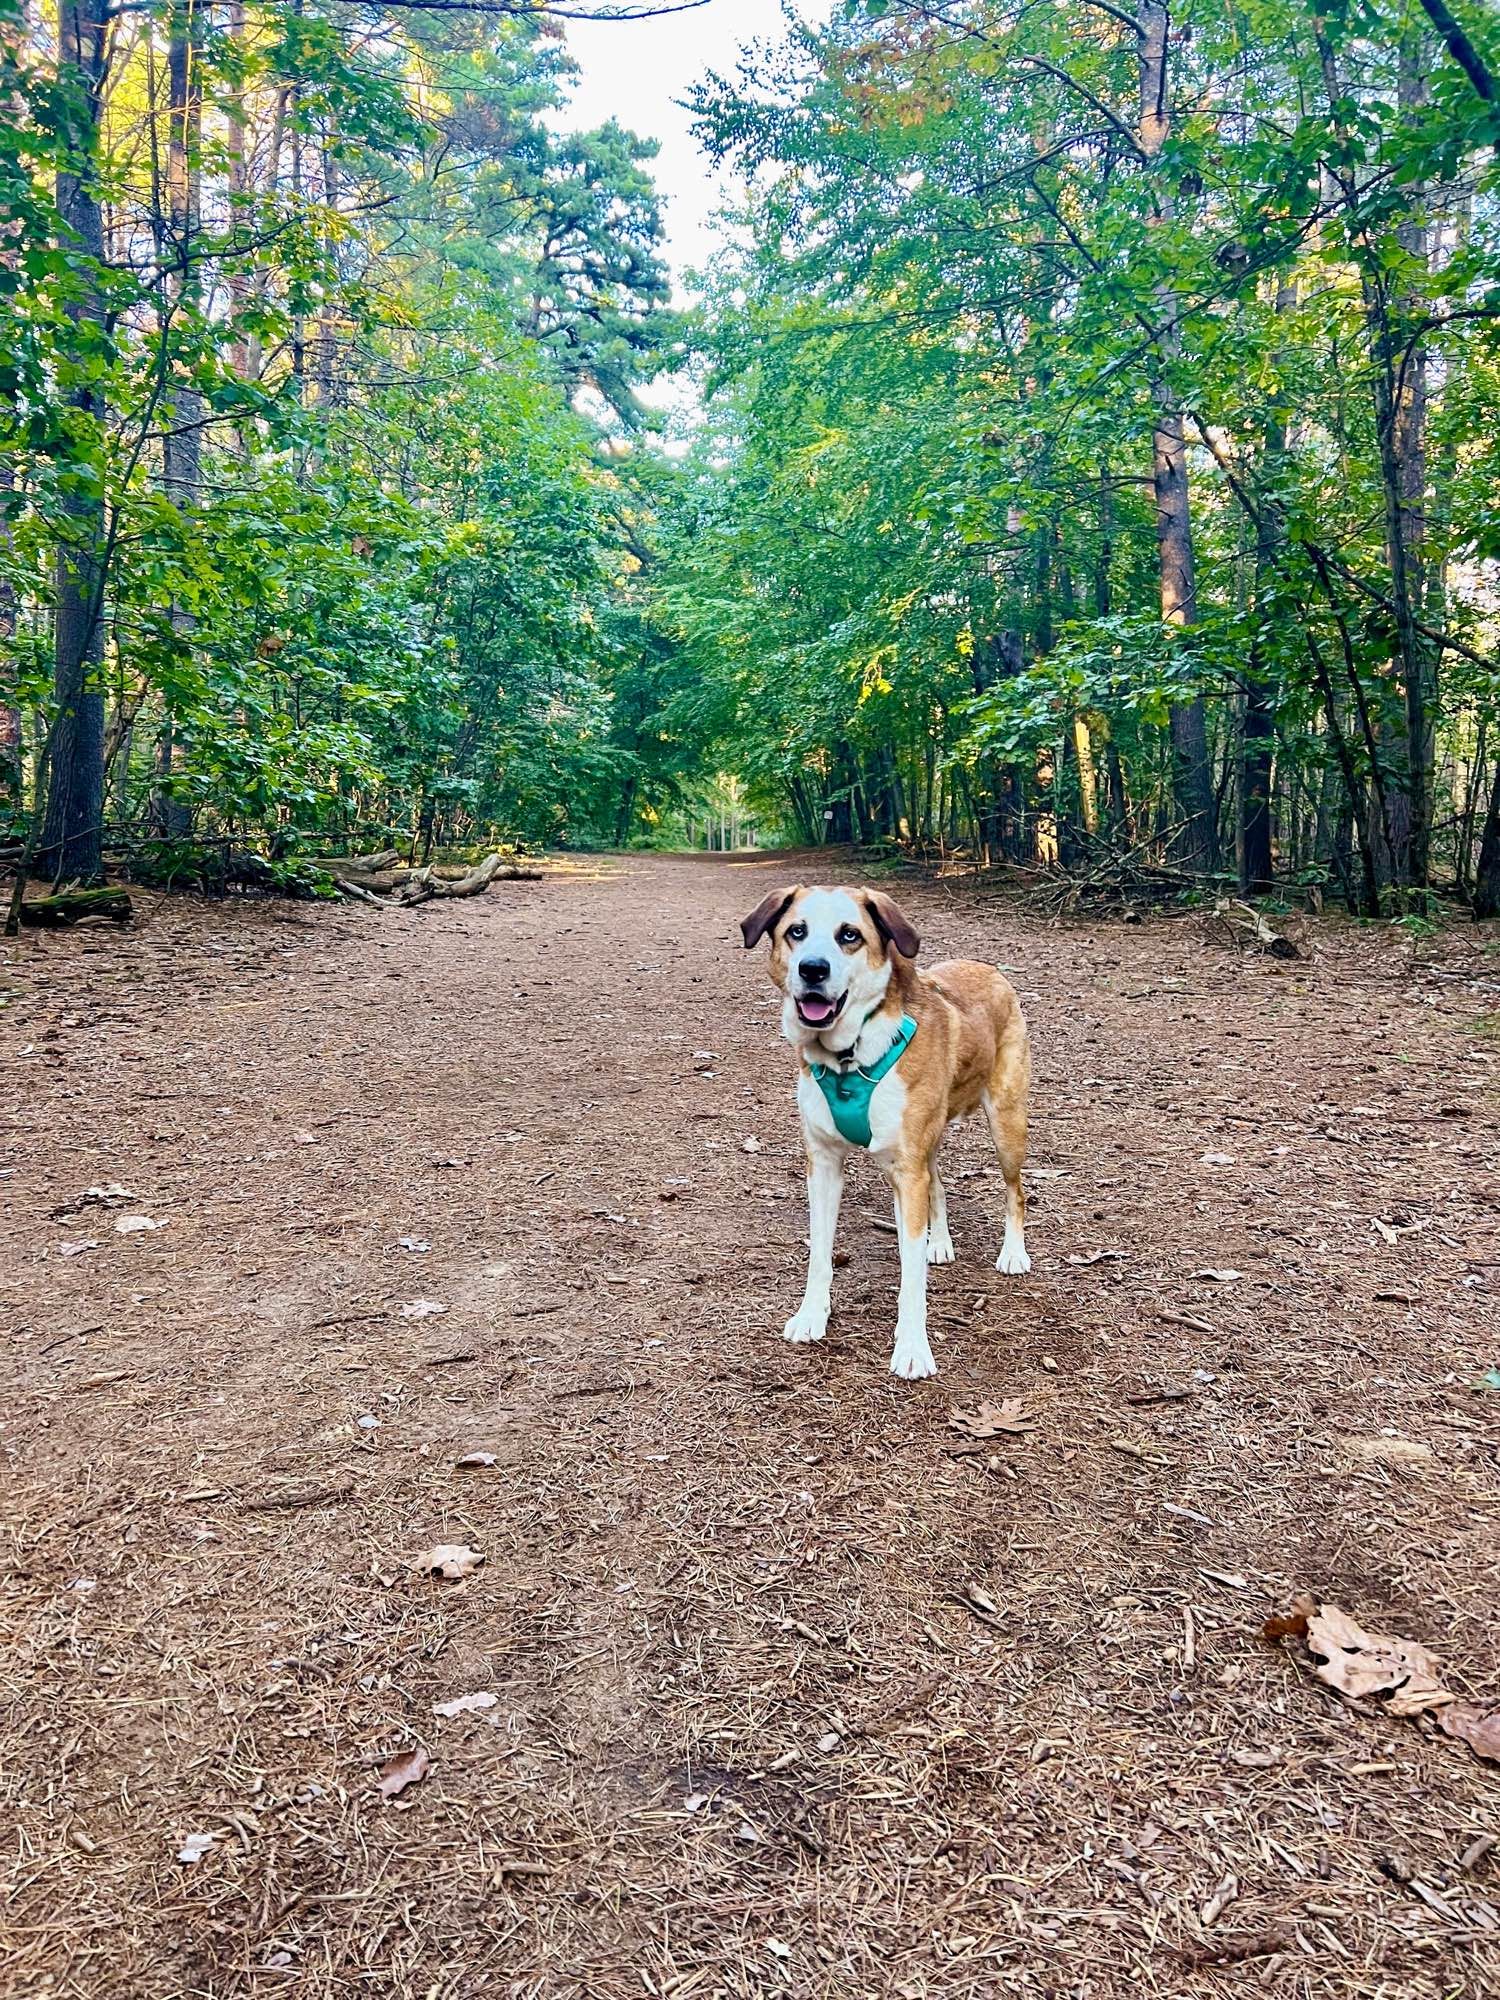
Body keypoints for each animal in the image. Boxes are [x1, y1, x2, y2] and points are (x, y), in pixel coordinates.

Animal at [744, 884, 1032, 1384]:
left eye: (850, 935)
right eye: (797, 931)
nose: (812, 969)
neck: (849, 1056)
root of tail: (989, 968)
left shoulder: (906, 1171)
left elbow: (911, 1277)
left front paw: (913, 1348)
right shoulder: (825, 1165)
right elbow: (820, 1253)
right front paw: (812, 1315)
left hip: (1006, 1123)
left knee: (1015, 1191)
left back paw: (1013, 1253)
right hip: (928, 1143)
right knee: (938, 1185)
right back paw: (940, 1243)